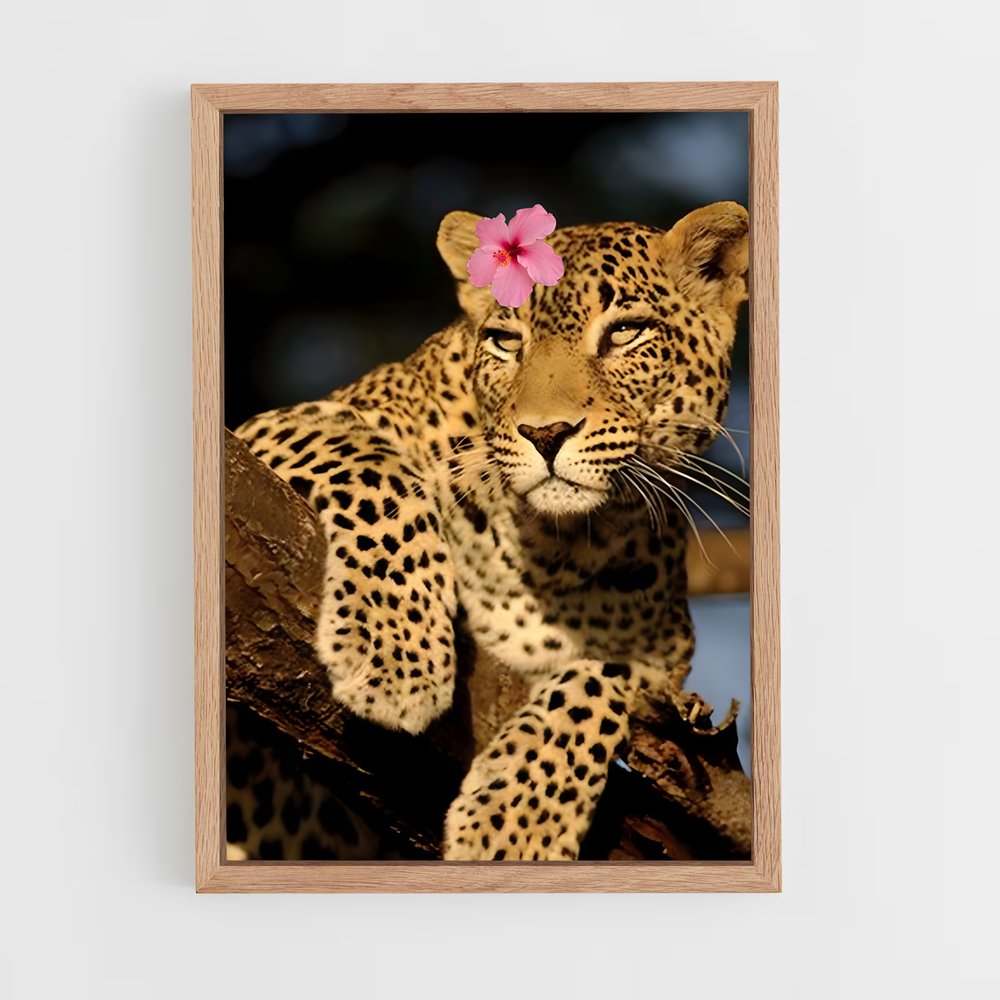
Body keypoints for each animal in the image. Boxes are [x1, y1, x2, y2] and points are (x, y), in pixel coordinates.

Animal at [230, 201, 749, 861]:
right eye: (506, 341)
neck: (553, 544)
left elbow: (604, 676)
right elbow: (380, 475)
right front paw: (395, 656)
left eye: (625, 332)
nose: (546, 434)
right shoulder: (272, 429)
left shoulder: (665, 658)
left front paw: (517, 825)